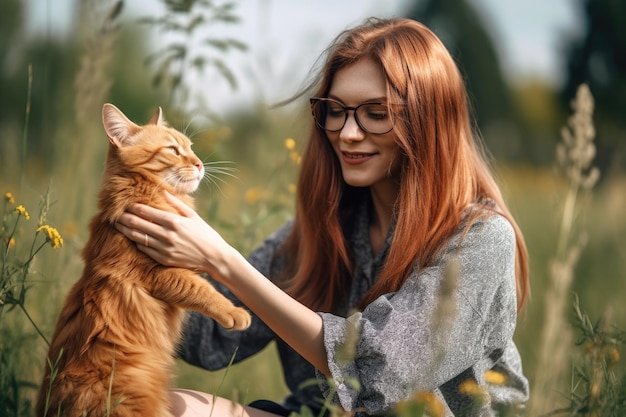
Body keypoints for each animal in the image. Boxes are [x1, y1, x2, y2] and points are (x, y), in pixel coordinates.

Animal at [36, 104, 250, 416]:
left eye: (190, 148)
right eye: (173, 150)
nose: (199, 164)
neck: (143, 192)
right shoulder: (155, 273)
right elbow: (201, 289)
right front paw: (234, 312)